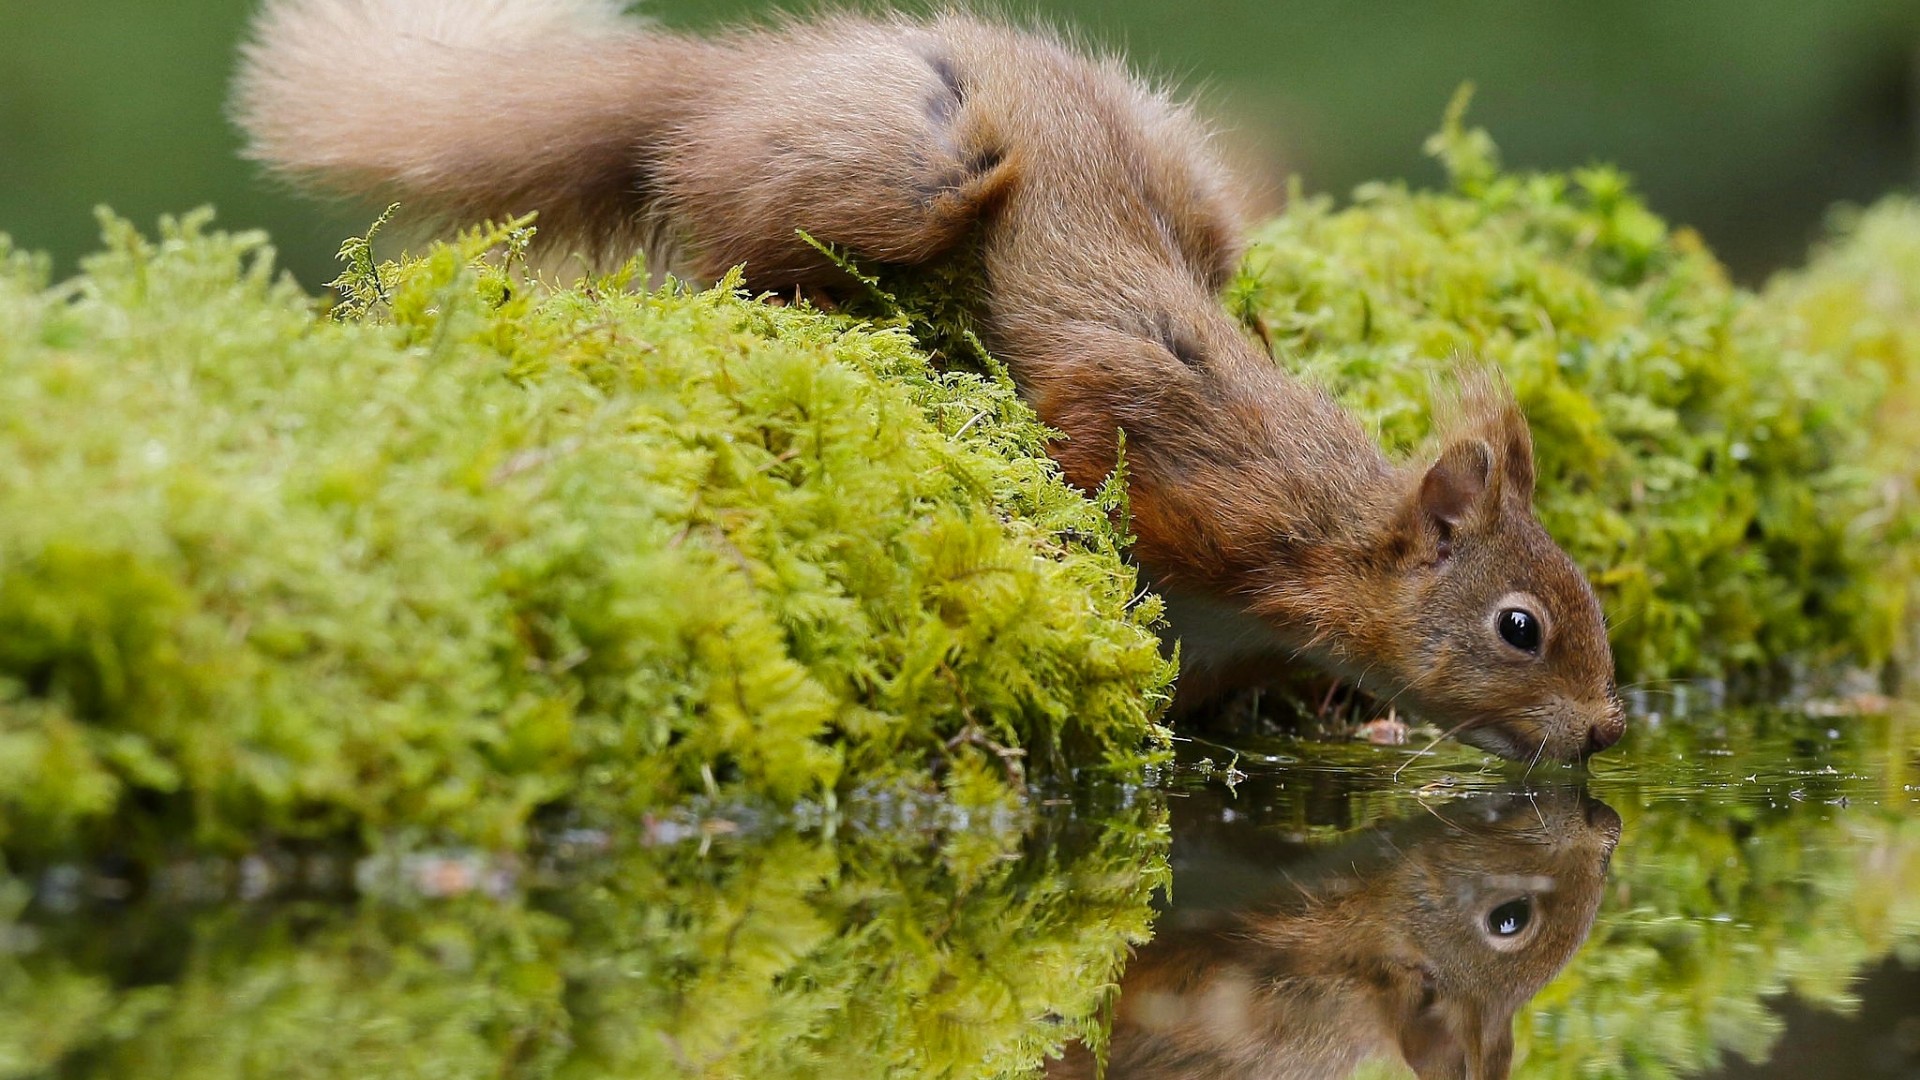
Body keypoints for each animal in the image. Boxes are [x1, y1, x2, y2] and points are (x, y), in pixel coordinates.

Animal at [232, 0, 1628, 757]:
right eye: (1520, 626)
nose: (1611, 728)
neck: (1321, 543)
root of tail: (739, 75)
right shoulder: (1172, 436)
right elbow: (1085, 432)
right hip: (915, 169)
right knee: (731, 239)